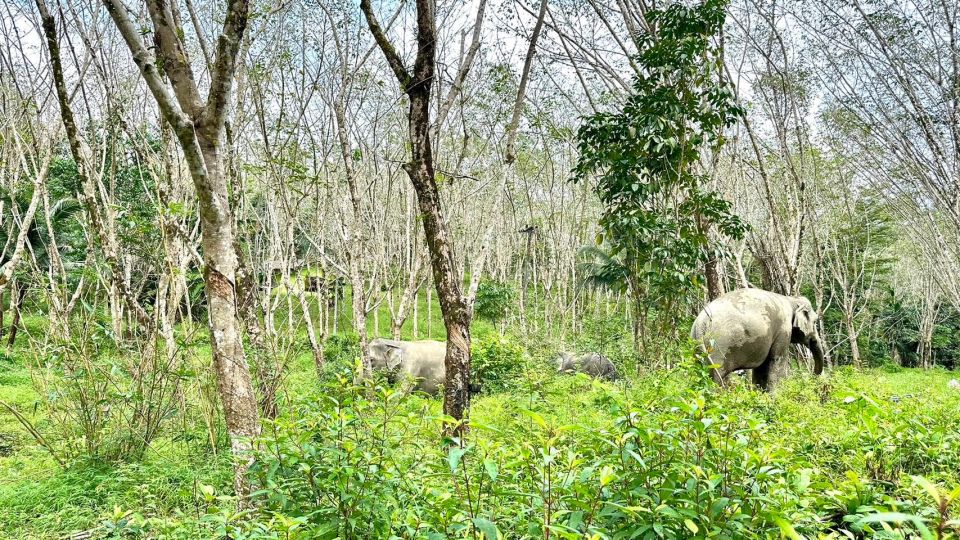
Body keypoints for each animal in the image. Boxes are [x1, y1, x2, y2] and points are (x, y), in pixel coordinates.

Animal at [688, 288, 824, 390]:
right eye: (815, 321)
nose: (812, 376)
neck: (791, 299)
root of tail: (701, 322)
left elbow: (761, 368)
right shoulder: (783, 330)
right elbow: (776, 361)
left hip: (696, 345)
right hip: (719, 346)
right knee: (716, 376)